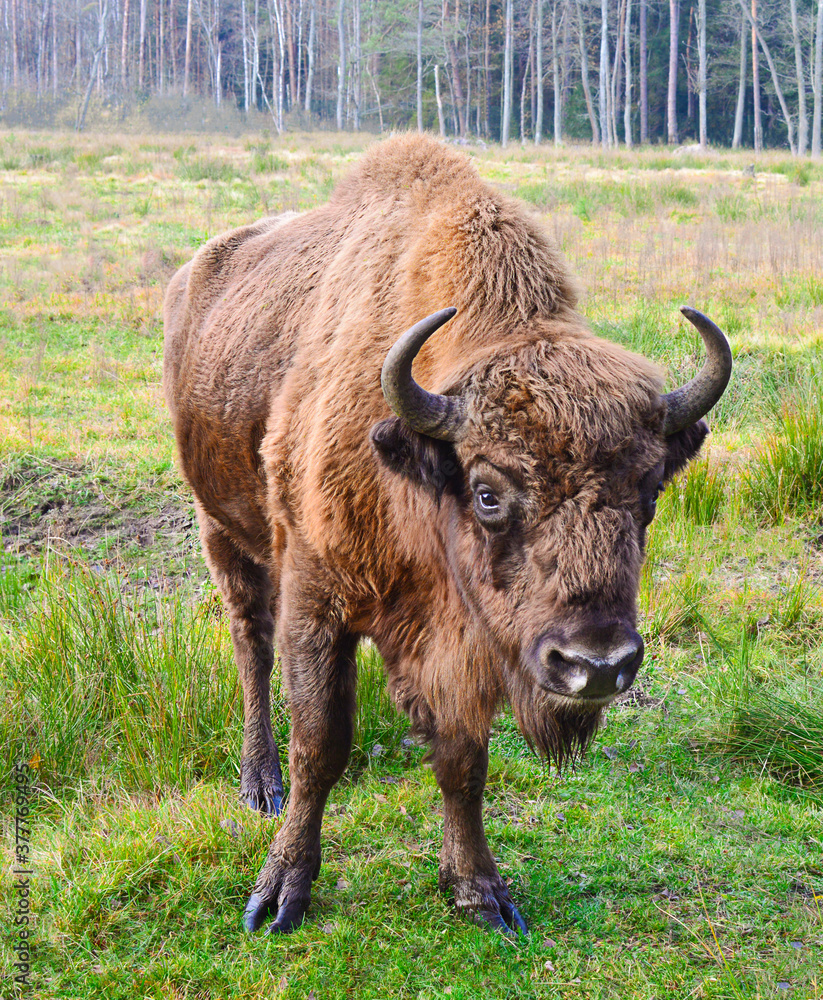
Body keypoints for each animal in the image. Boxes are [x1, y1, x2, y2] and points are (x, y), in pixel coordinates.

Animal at [162, 134, 731, 937]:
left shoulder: (469, 642)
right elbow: (319, 745)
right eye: (487, 492)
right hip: (222, 529)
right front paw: (278, 893)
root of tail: (194, 272)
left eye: (649, 493)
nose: (596, 665)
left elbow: (463, 759)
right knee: (251, 645)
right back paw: (259, 783)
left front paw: (478, 890)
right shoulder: (317, 596)